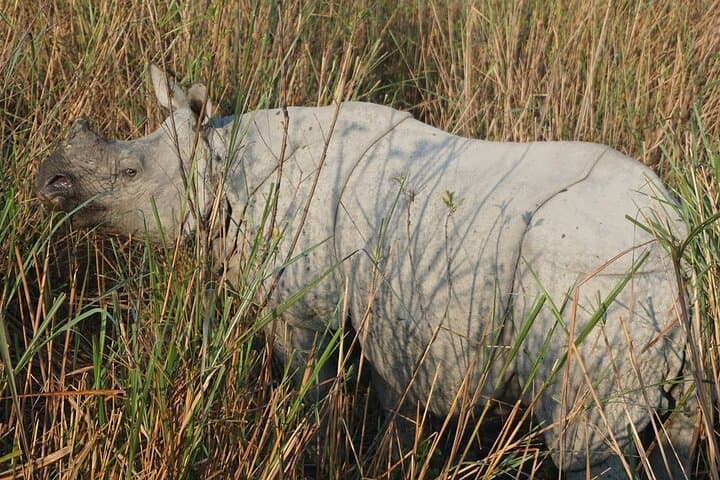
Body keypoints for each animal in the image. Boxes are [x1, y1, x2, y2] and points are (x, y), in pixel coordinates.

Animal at [36, 65, 696, 479]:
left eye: (129, 175)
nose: (48, 180)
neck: (221, 164)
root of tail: (676, 231)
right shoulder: (394, 323)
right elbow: (393, 410)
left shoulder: (303, 309)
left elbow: (315, 393)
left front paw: (317, 459)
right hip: (650, 281)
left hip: (602, 277)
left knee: (587, 445)